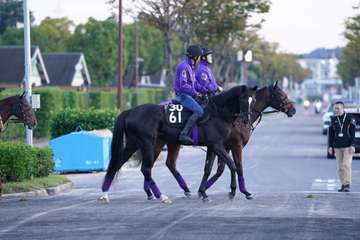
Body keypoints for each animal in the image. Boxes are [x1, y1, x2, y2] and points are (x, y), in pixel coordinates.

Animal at [100, 85, 258, 203]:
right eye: (243, 99)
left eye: (254, 100)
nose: (246, 120)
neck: (217, 113)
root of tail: (131, 111)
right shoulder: (218, 145)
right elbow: (232, 165)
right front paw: (232, 191)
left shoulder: (212, 146)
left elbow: (208, 169)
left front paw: (203, 192)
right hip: (148, 144)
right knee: (146, 169)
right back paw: (162, 196)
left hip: (133, 144)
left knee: (117, 163)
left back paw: (105, 194)